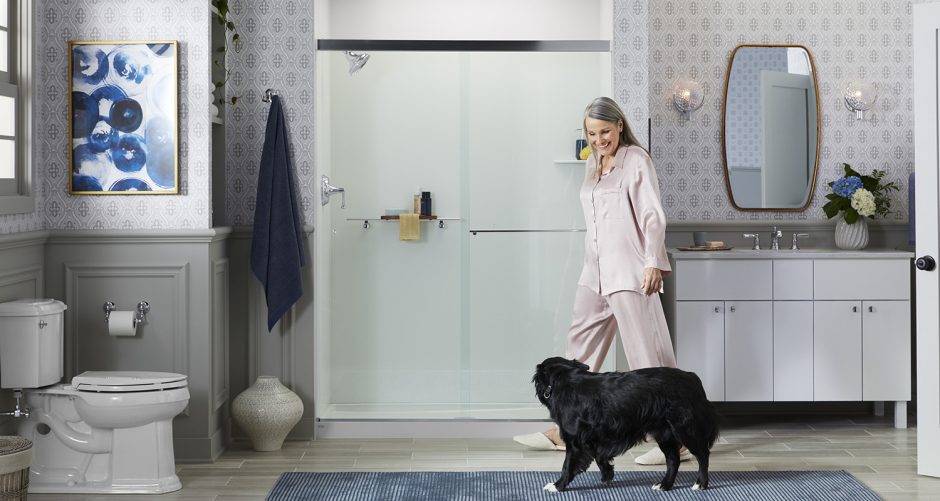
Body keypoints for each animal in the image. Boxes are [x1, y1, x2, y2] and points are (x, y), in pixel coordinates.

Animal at [528, 356, 720, 492]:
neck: (565, 380)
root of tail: (692, 378)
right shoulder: (594, 438)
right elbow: (600, 457)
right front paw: (607, 475)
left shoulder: (575, 442)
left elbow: (567, 466)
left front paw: (557, 486)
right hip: (664, 433)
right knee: (674, 460)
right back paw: (664, 485)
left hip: (685, 429)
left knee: (703, 455)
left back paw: (701, 484)